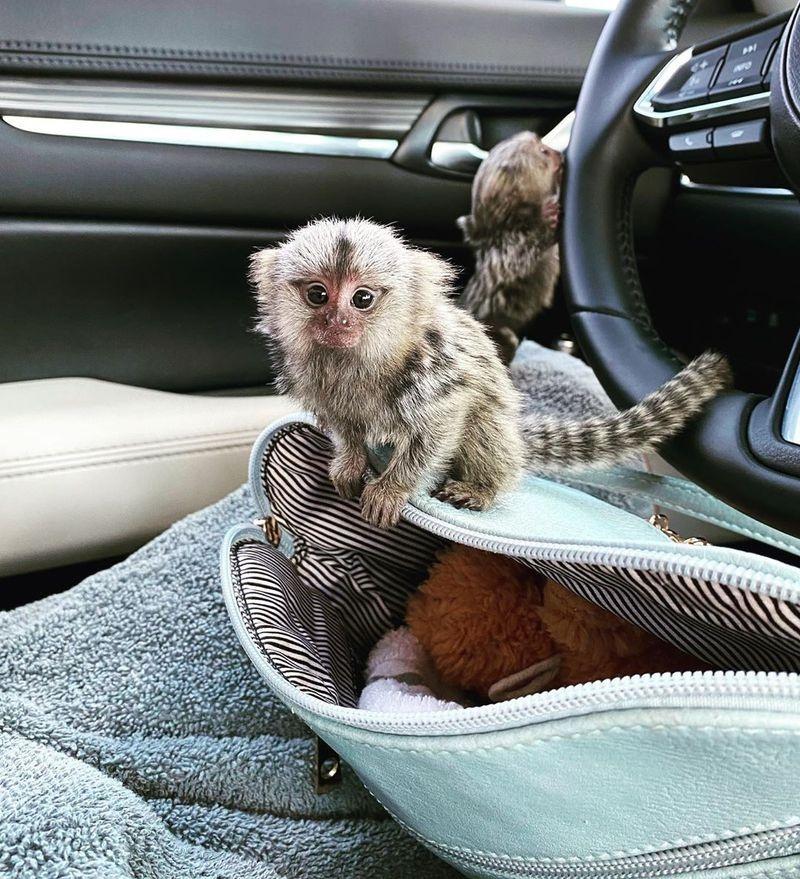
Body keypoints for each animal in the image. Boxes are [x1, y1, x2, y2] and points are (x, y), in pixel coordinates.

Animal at [252, 218, 731, 530]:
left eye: (362, 299)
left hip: (497, 430)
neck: (357, 361)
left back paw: (482, 488)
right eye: (318, 295)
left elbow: (439, 429)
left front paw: (392, 489)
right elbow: (344, 427)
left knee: (482, 428)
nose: (337, 321)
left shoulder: (434, 374)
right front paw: (350, 462)